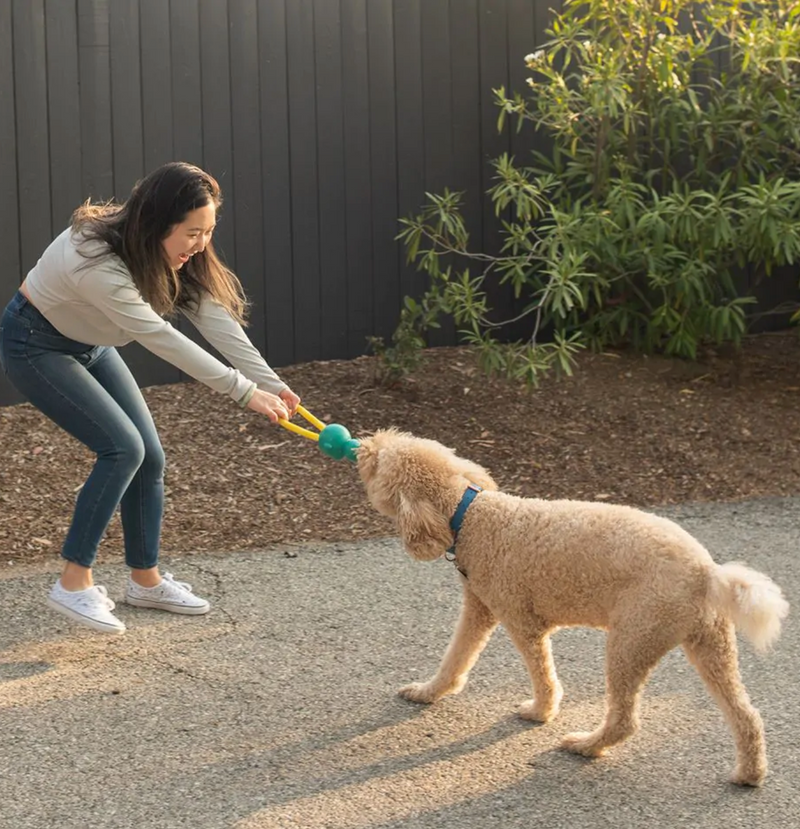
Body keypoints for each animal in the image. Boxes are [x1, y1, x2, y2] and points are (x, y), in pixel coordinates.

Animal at [360, 430, 792, 784]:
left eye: (381, 462)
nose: (366, 442)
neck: (471, 516)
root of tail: (707, 573)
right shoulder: (479, 610)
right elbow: (455, 659)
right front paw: (428, 692)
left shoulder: (521, 621)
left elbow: (542, 675)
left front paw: (540, 712)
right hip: (710, 644)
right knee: (746, 715)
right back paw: (749, 773)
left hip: (631, 641)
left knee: (624, 721)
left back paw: (586, 746)